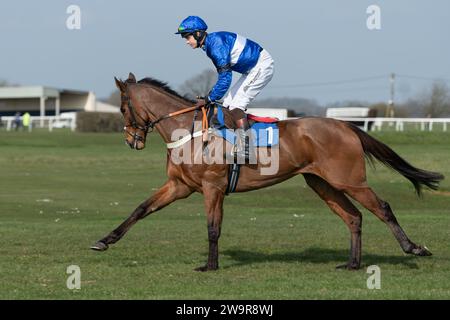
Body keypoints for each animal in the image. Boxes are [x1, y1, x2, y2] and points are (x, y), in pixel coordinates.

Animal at [90, 72, 442, 270]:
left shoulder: (212, 187)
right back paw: (353, 264)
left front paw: (210, 265)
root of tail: (346, 126)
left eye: (122, 108)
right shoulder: (179, 186)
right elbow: (140, 209)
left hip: (350, 180)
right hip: (321, 183)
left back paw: (413, 248)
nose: (131, 141)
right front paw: (104, 240)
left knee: (382, 207)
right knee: (353, 217)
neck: (188, 129)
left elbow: (213, 228)